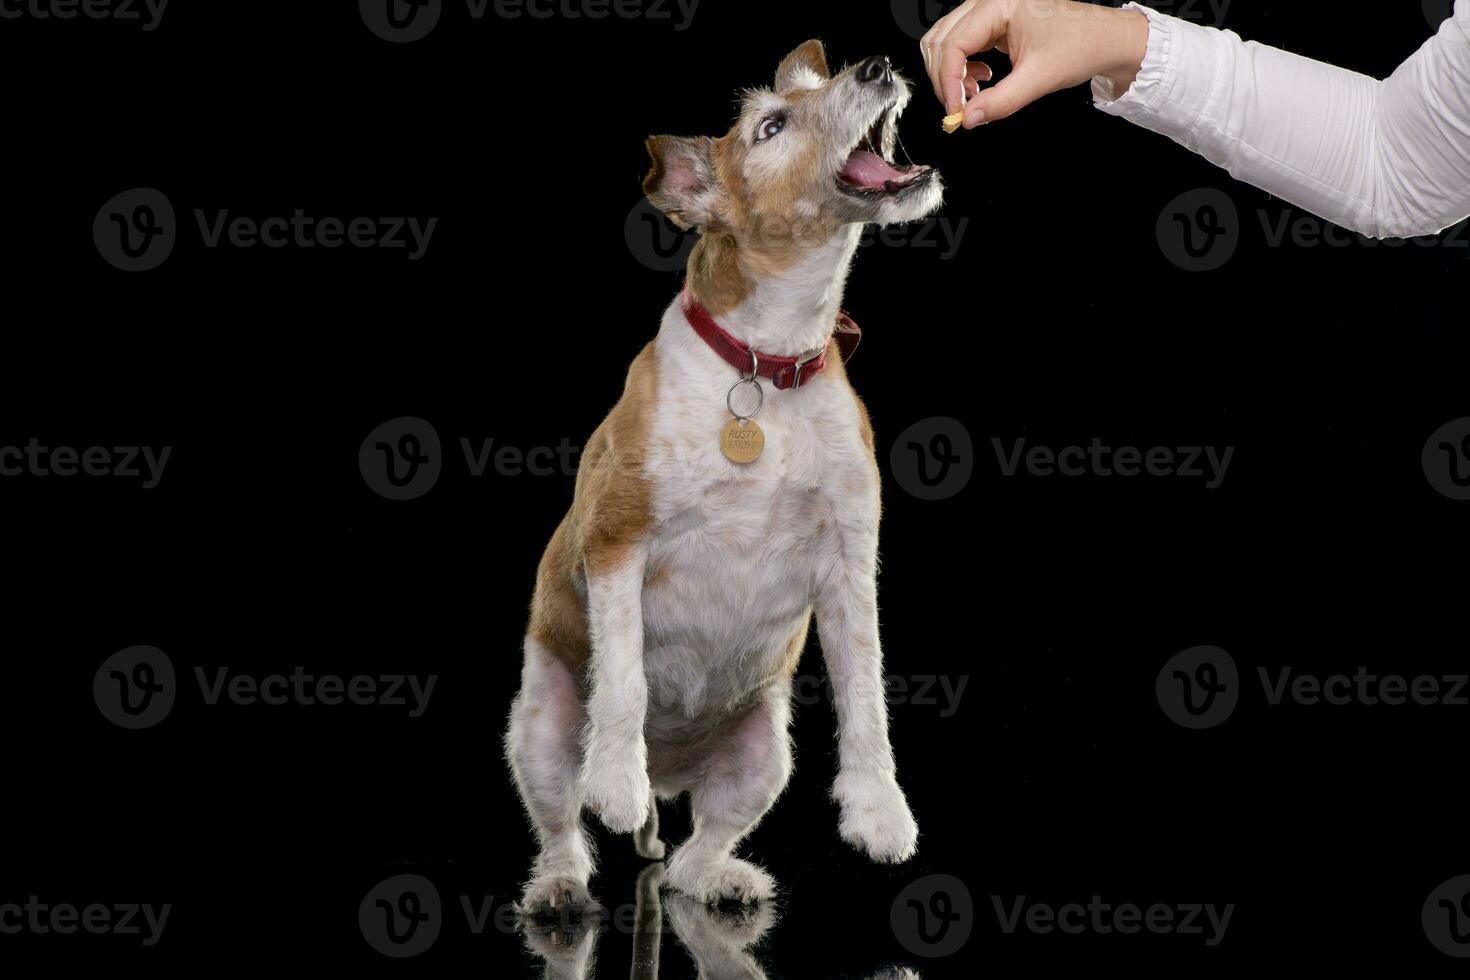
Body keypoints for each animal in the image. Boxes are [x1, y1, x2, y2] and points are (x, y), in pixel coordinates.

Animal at [505, 38, 940, 910]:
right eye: (771, 126)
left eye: (822, 85)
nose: (878, 66)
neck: (765, 366)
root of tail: (674, 773)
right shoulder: (616, 541)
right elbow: (625, 680)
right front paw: (615, 777)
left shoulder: (850, 566)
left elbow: (867, 693)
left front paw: (879, 812)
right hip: (538, 729)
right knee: (563, 824)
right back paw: (567, 877)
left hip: (762, 752)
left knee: (687, 858)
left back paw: (721, 879)